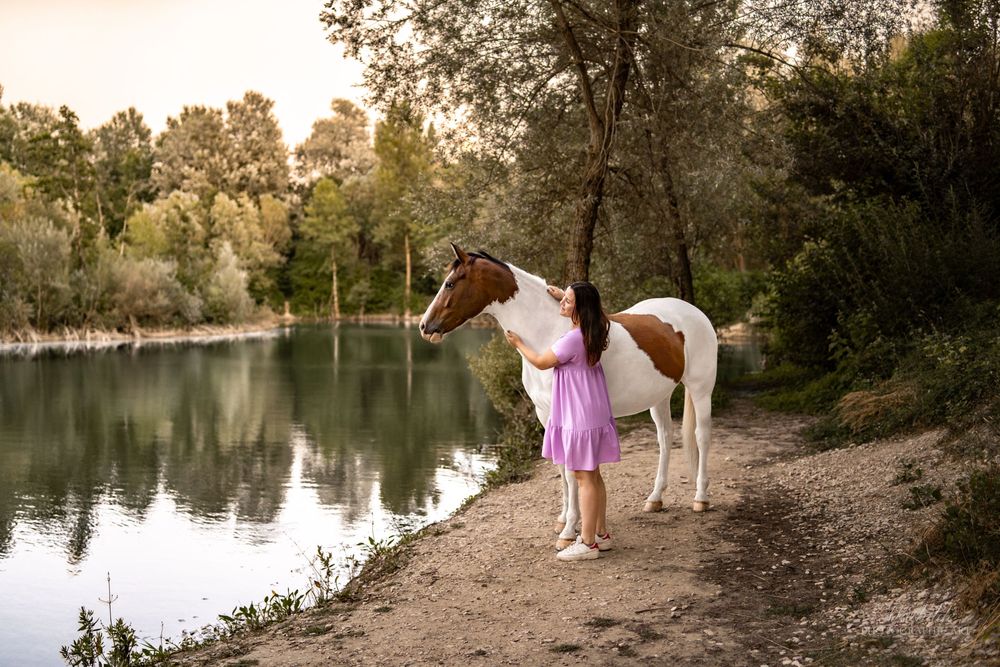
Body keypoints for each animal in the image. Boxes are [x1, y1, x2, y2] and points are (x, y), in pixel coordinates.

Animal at [419, 243, 718, 549]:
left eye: (450, 283)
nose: (424, 326)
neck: (549, 334)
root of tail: (693, 312)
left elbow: (573, 472)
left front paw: (569, 530)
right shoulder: (546, 414)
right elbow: (562, 468)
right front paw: (563, 520)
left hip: (701, 388)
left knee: (702, 437)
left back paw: (701, 498)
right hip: (659, 396)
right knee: (665, 439)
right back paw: (655, 499)